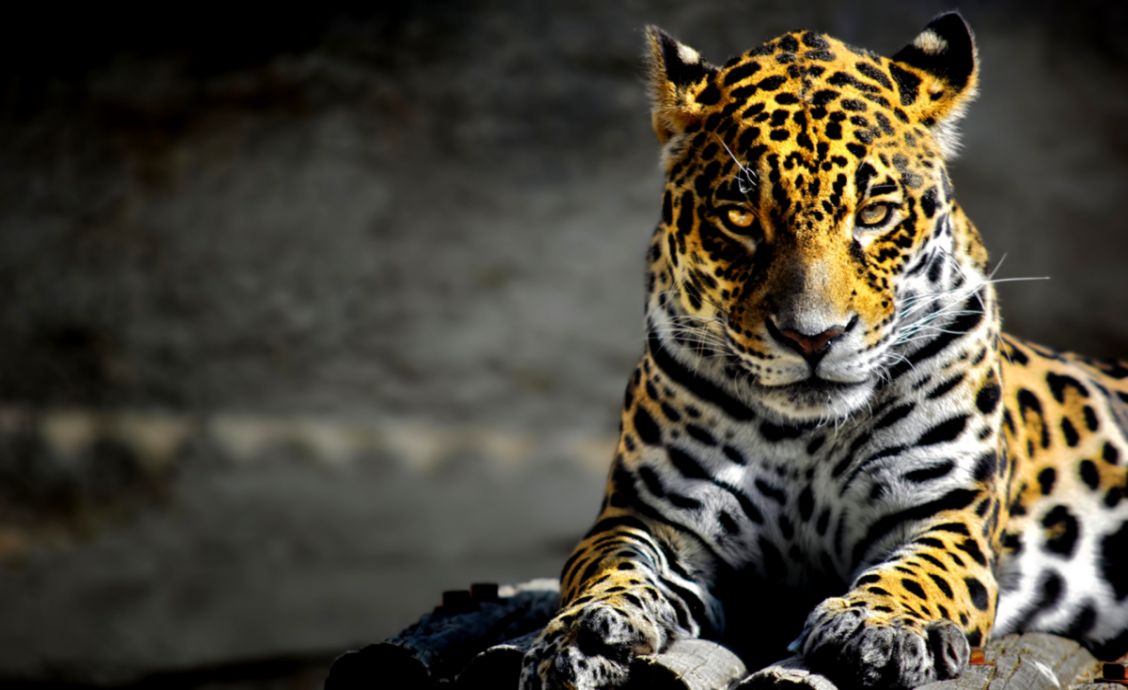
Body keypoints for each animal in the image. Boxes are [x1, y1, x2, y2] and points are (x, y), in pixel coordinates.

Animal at [518, 12, 1128, 690]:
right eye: (739, 217)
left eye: (876, 213)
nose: (813, 337)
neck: (804, 438)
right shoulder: (650, 517)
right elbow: (608, 565)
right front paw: (584, 631)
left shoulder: (946, 515)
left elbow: (920, 572)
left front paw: (879, 627)